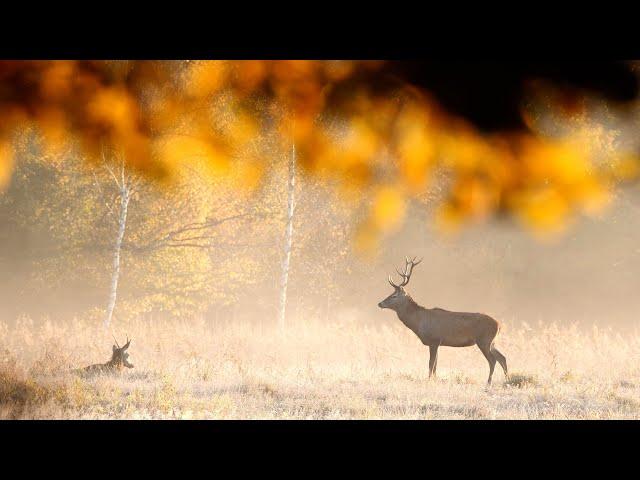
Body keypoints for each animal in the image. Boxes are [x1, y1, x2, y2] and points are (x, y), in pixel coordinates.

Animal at [378, 256, 508, 384]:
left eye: (394, 296)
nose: (380, 303)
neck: (419, 322)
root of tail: (499, 325)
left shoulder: (434, 340)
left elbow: (431, 364)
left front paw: (429, 380)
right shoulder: (438, 343)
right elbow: (435, 365)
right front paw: (434, 379)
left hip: (484, 340)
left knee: (493, 360)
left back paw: (489, 382)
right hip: (492, 342)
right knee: (502, 357)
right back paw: (507, 379)